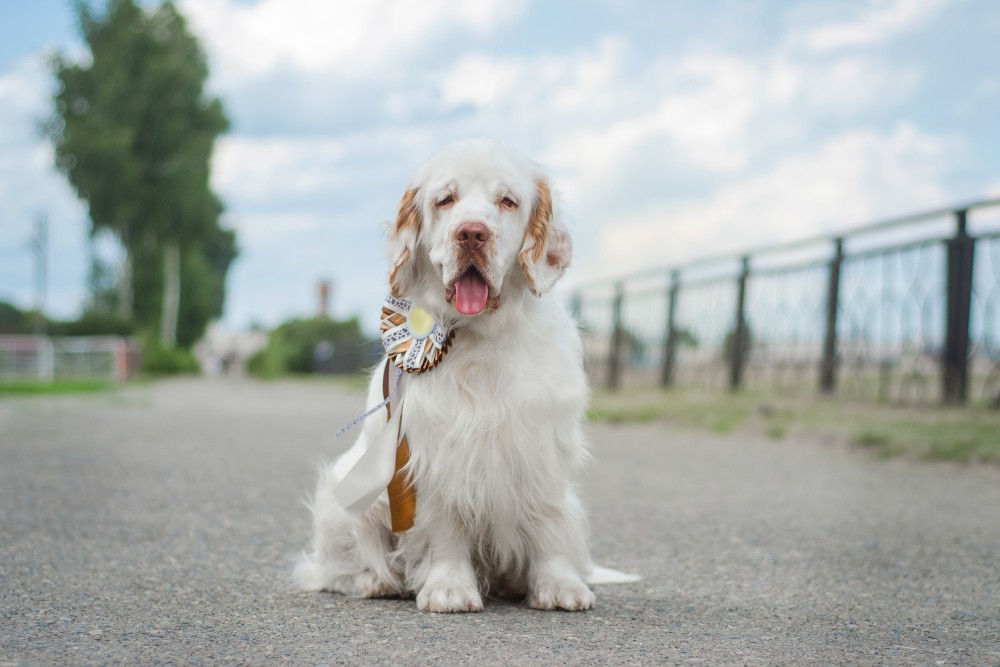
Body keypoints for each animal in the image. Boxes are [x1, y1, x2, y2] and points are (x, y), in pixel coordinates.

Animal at [292, 141, 628, 616]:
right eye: (445, 200)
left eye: (507, 201)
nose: (472, 234)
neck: (482, 339)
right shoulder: (435, 448)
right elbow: (445, 527)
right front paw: (449, 588)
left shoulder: (541, 445)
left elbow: (546, 521)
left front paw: (559, 585)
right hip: (346, 495)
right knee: (335, 568)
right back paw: (375, 582)